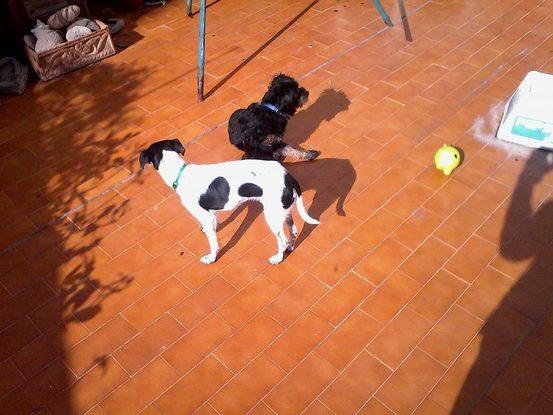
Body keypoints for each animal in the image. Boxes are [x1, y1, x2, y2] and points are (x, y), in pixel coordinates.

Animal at [139, 140, 320, 264]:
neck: (180, 173)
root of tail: (288, 176)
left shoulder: (204, 215)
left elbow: (213, 242)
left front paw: (211, 258)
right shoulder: (211, 212)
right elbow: (214, 223)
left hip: (272, 215)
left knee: (282, 241)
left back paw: (277, 258)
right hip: (283, 211)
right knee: (294, 231)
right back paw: (290, 247)